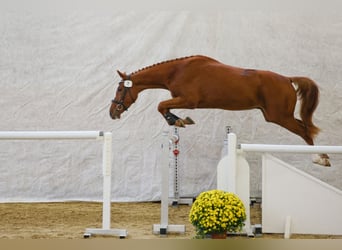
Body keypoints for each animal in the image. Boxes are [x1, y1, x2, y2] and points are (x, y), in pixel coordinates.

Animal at [109, 55, 328, 167]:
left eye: (120, 89)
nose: (113, 113)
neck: (177, 71)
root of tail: (288, 79)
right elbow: (164, 106)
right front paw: (180, 120)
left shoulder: (189, 101)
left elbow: (161, 105)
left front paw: (178, 120)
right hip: (276, 116)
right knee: (305, 127)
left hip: (280, 116)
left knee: (305, 130)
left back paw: (320, 158)